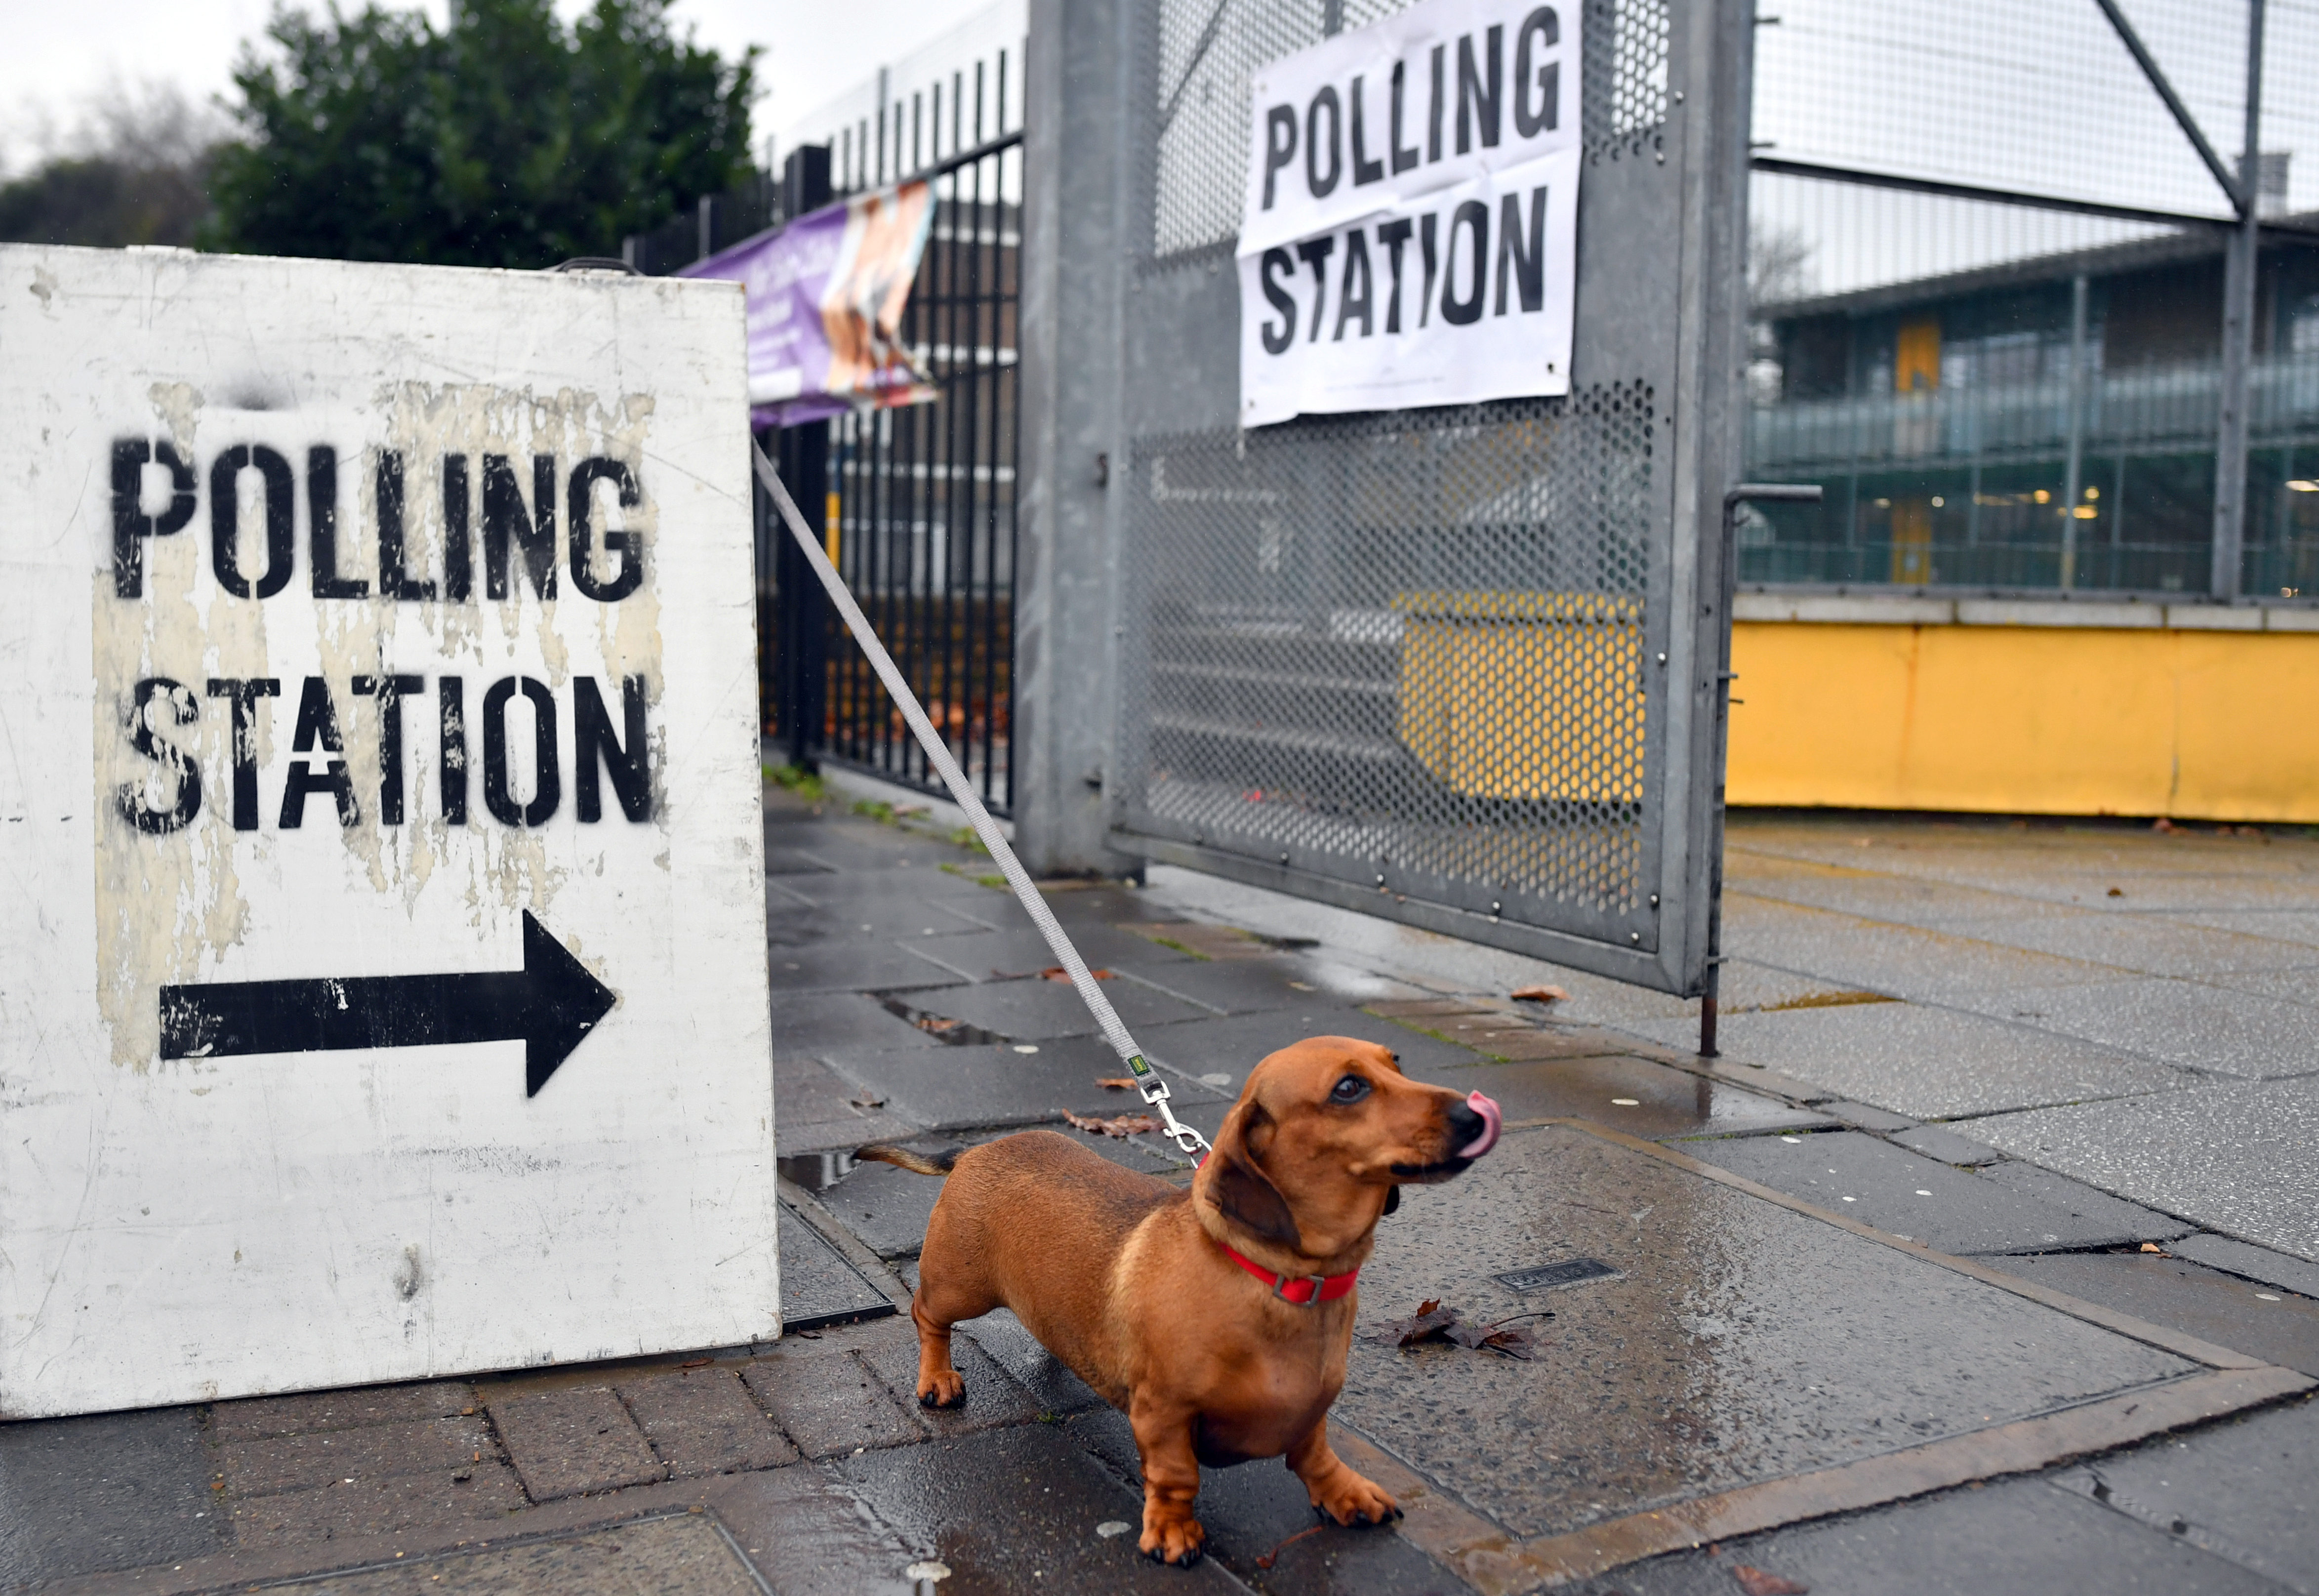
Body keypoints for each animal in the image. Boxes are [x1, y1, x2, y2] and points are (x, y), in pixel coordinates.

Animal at [858, 1039, 1503, 1568]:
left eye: (1397, 1063)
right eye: (1348, 1088)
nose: (1476, 1113)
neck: (1279, 1280)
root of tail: (977, 1150)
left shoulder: (1312, 1410)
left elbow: (1314, 1455)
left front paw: (1345, 1494)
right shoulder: (1164, 1413)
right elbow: (1176, 1477)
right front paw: (1172, 1533)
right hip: (958, 1286)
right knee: (926, 1317)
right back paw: (938, 1379)